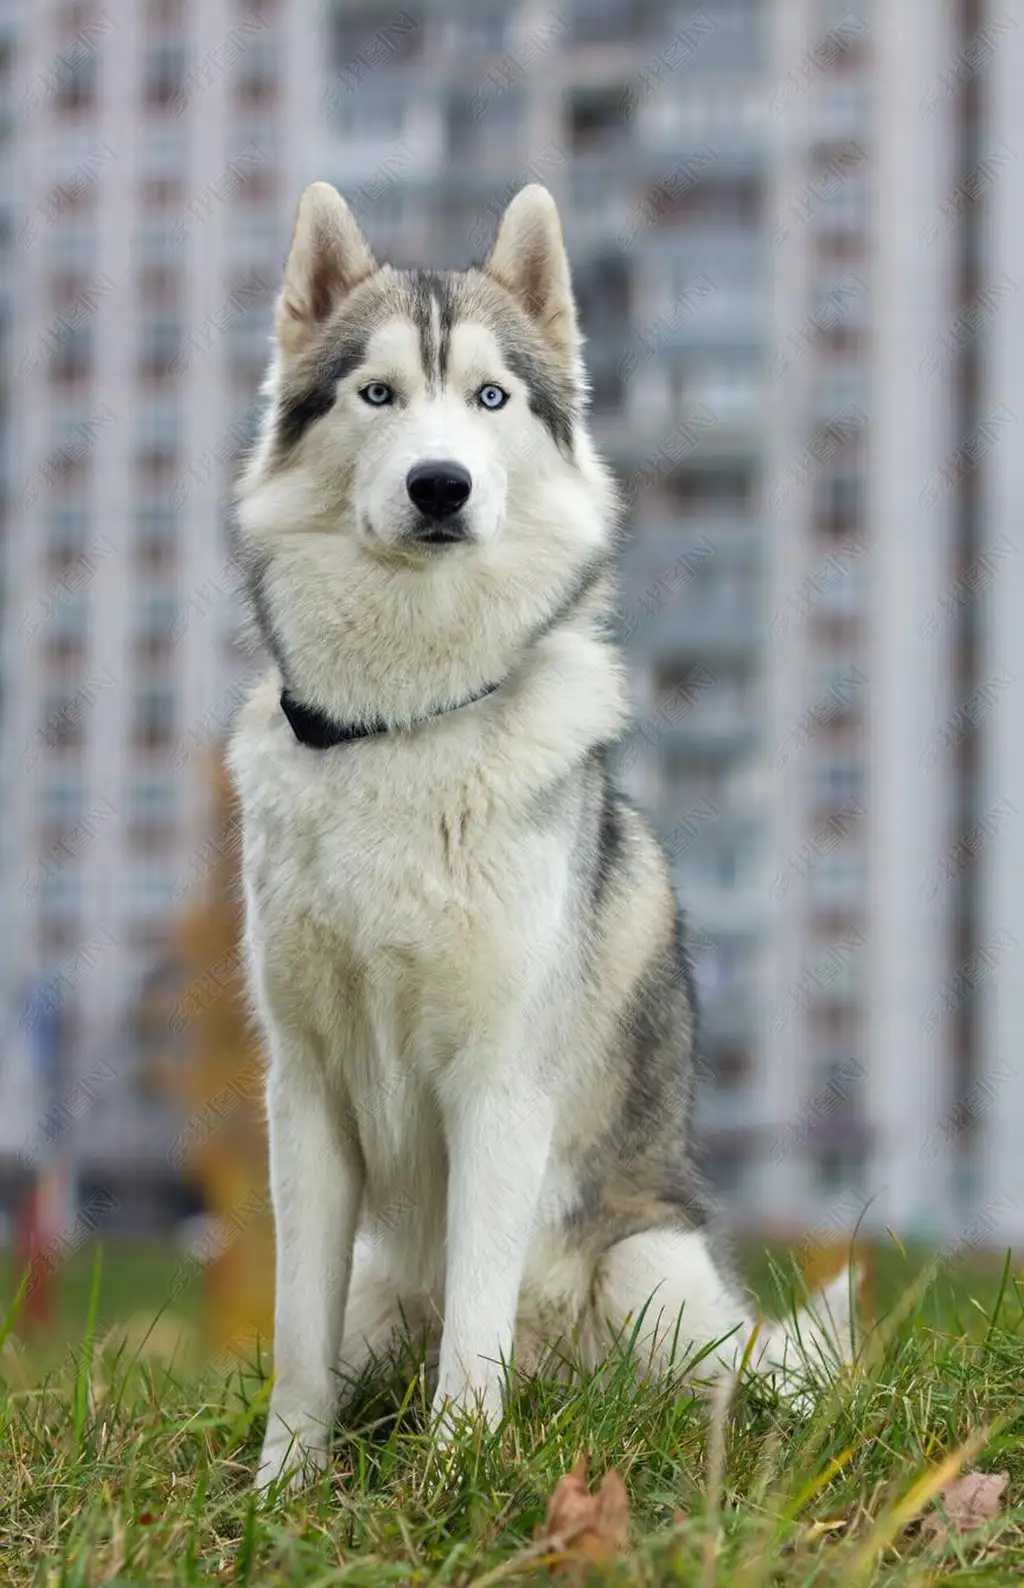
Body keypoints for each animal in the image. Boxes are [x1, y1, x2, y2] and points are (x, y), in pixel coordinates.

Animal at [227, 182, 850, 1486]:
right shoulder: (303, 1092)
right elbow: (296, 1344)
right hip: (382, 1287)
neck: (404, 721)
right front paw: (282, 1490)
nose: (440, 486)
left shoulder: (499, 1087)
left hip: (648, 1275)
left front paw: (452, 1475)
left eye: (489, 397)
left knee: (724, 1391)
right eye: (376, 393)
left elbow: (477, 1326)